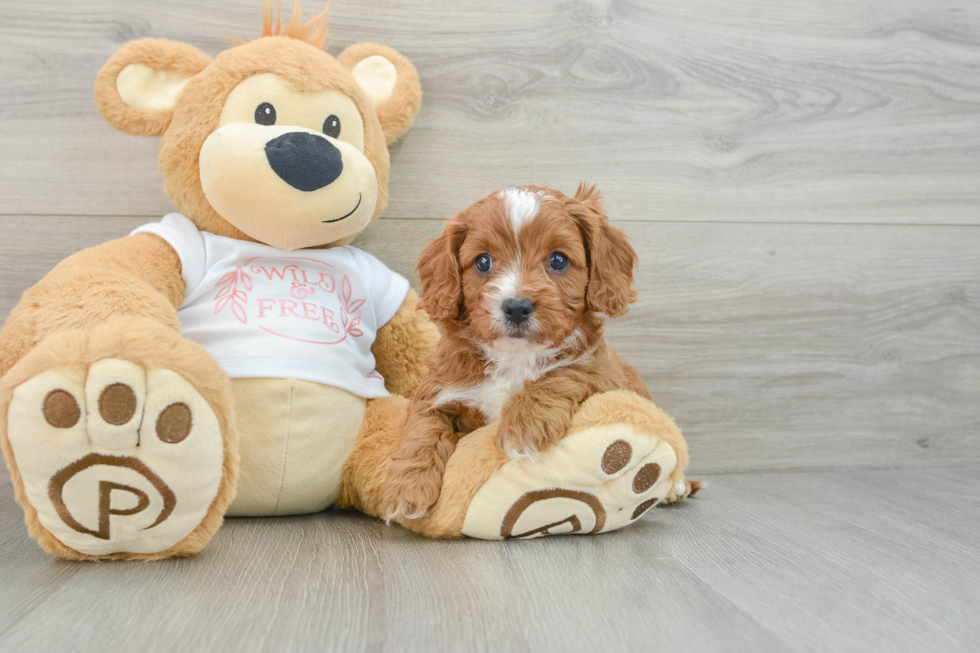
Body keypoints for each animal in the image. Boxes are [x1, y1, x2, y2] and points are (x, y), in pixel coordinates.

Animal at [382, 183, 652, 520]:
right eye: (483, 262)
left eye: (558, 260)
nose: (516, 307)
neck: (514, 356)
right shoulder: (439, 388)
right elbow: (422, 429)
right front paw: (406, 488)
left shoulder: (604, 375)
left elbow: (568, 372)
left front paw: (524, 425)